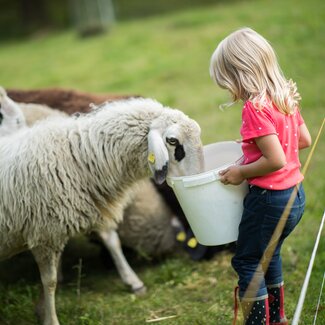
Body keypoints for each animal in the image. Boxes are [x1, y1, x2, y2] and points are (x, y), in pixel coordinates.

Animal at [0, 97, 202, 324]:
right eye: (173, 141)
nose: (196, 180)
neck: (77, 158)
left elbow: (112, 240)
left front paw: (133, 281)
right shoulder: (44, 234)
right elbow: (49, 281)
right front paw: (50, 317)